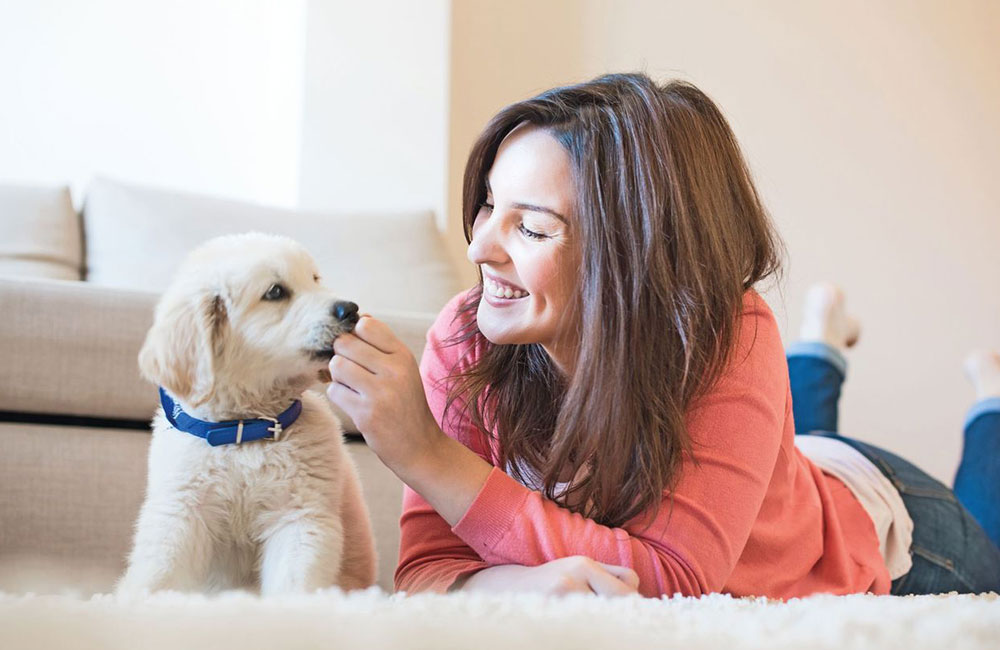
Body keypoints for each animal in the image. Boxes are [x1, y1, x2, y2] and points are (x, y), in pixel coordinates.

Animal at [117, 232, 376, 592]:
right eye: (276, 292)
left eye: (315, 279)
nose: (351, 309)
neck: (245, 428)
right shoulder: (181, 512)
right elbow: (160, 574)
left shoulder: (299, 516)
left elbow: (293, 584)